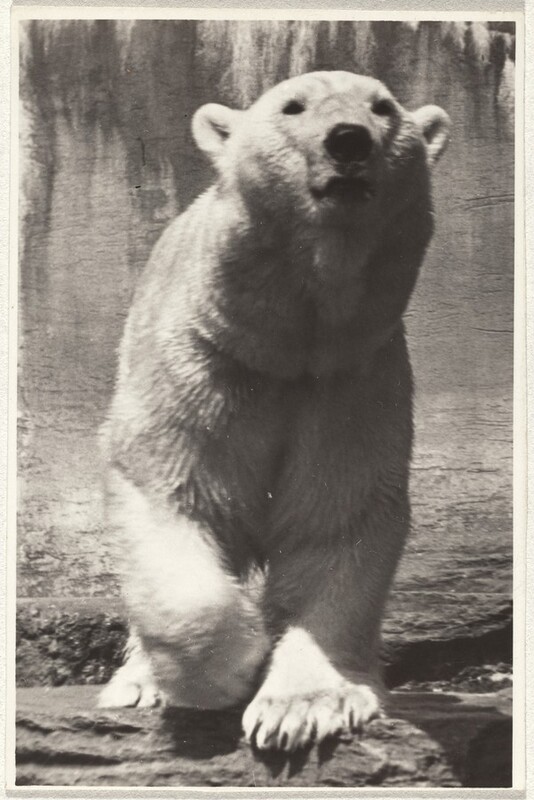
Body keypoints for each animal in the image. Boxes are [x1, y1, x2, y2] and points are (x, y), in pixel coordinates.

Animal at [98, 71, 450, 752]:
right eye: (293, 106)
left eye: (383, 108)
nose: (348, 139)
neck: (288, 347)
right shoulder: (203, 368)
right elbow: (169, 493)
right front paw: (231, 667)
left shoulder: (349, 384)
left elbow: (334, 521)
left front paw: (302, 709)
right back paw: (138, 681)